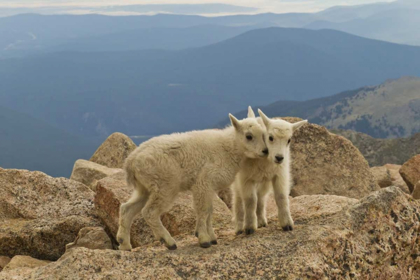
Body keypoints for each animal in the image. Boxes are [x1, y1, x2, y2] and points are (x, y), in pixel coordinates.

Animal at [116, 108, 268, 250]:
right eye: (249, 136)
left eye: (264, 134)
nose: (265, 151)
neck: (228, 148)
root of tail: (131, 161)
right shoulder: (203, 182)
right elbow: (203, 209)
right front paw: (204, 239)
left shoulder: (210, 188)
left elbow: (210, 210)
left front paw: (212, 238)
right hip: (165, 186)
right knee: (149, 212)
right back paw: (169, 242)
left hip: (145, 188)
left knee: (127, 209)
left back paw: (124, 245)